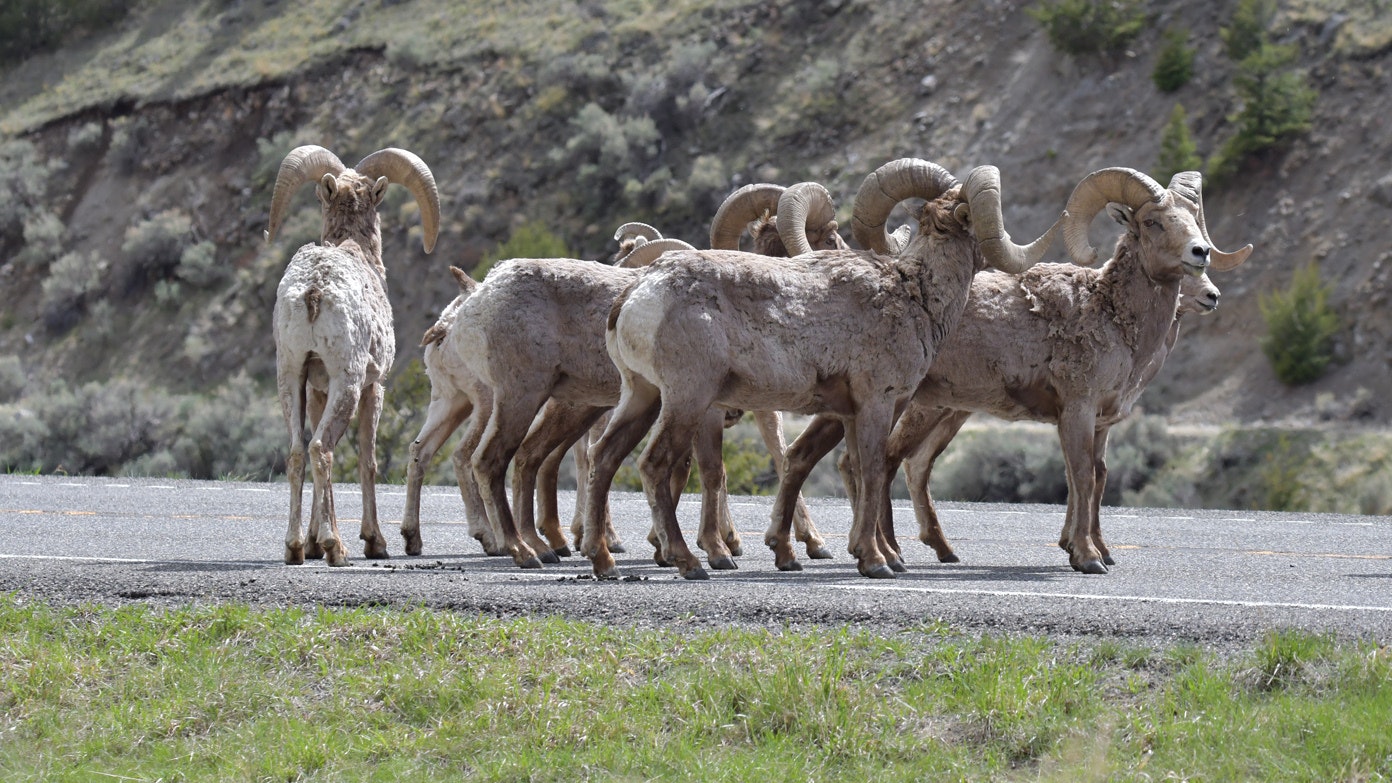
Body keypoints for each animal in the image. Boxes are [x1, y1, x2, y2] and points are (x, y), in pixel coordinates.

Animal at [265, 144, 440, 566]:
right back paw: (336, 547)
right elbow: (368, 461)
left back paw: (295, 548)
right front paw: (375, 542)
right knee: (321, 449)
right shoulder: (373, 388)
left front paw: (312, 543)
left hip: (289, 376)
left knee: (298, 452)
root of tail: (314, 290)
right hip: (347, 381)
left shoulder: (316, 389)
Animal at [577, 158, 1057, 580]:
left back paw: (604, 563)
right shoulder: (876, 404)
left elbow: (854, 471)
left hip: (641, 395)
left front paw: (866, 554)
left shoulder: (851, 412)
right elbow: (872, 471)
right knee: (654, 465)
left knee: (604, 458)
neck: (914, 294)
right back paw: (690, 563)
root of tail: (638, 294)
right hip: (686, 400)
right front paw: (877, 563)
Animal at [767, 167, 1252, 575]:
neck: (1110, 312)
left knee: (863, 462)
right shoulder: (1077, 410)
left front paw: (1092, 550)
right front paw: (1087, 558)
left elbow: (1093, 479)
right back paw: (878, 555)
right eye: (1153, 222)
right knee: (861, 462)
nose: (1202, 259)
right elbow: (1081, 476)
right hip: (885, 404)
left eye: (1193, 220)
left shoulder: (1100, 422)